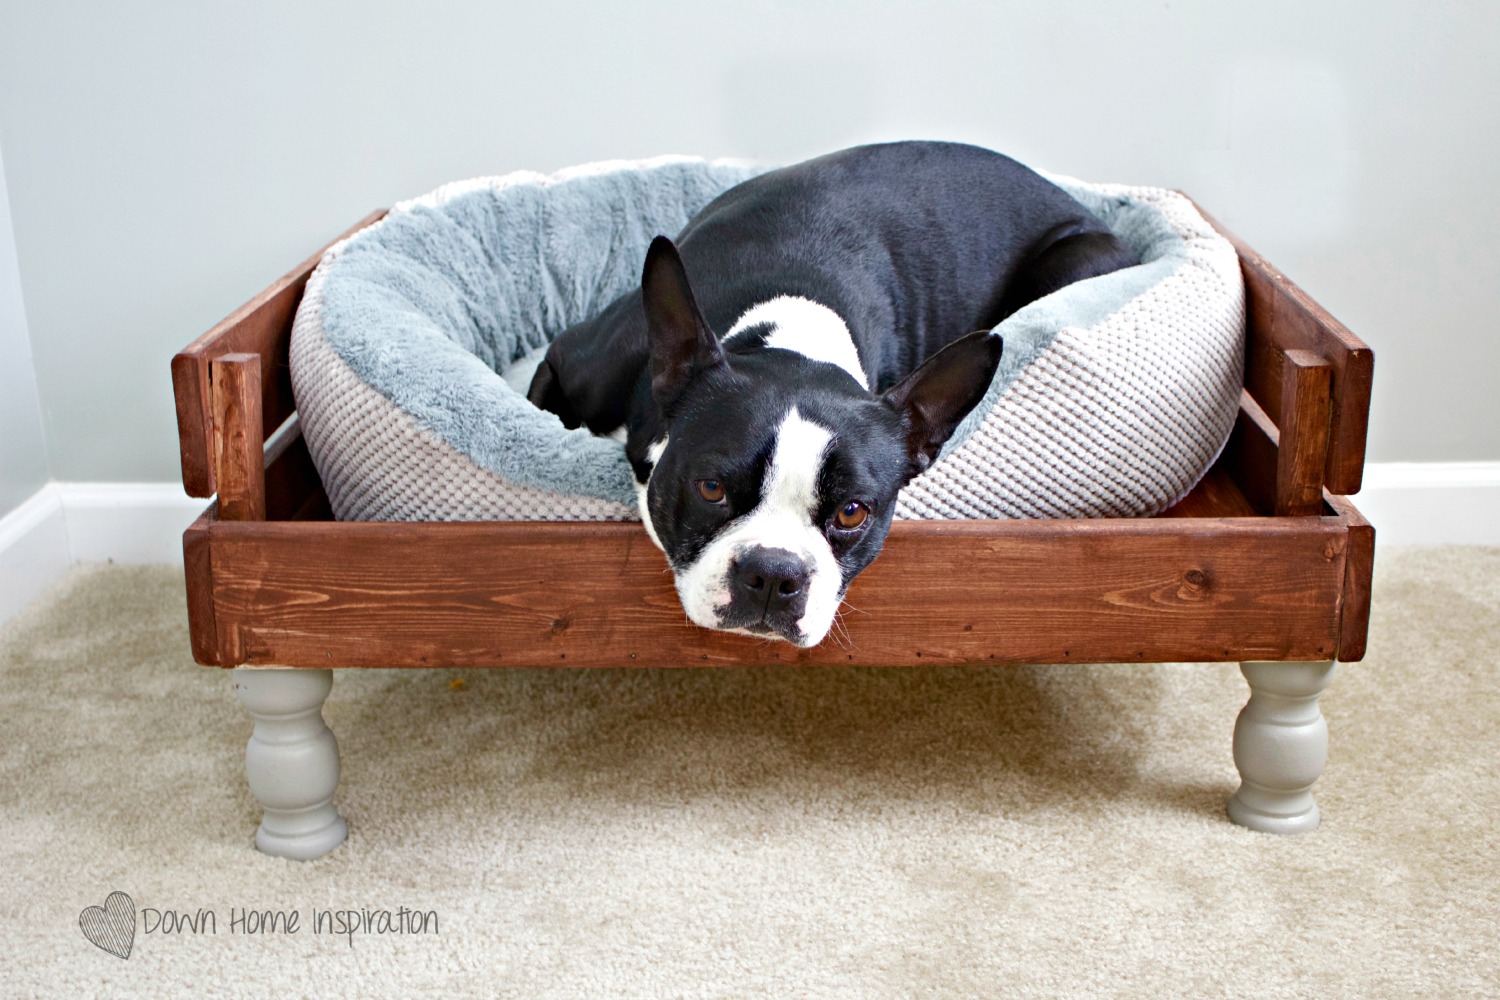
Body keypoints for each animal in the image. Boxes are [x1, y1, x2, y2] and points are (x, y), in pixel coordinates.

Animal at [528, 144, 1134, 653]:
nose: (775, 573)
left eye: (852, 513)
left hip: (1073, 261)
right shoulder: (566, 361)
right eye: (710, 488)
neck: (790, 334)